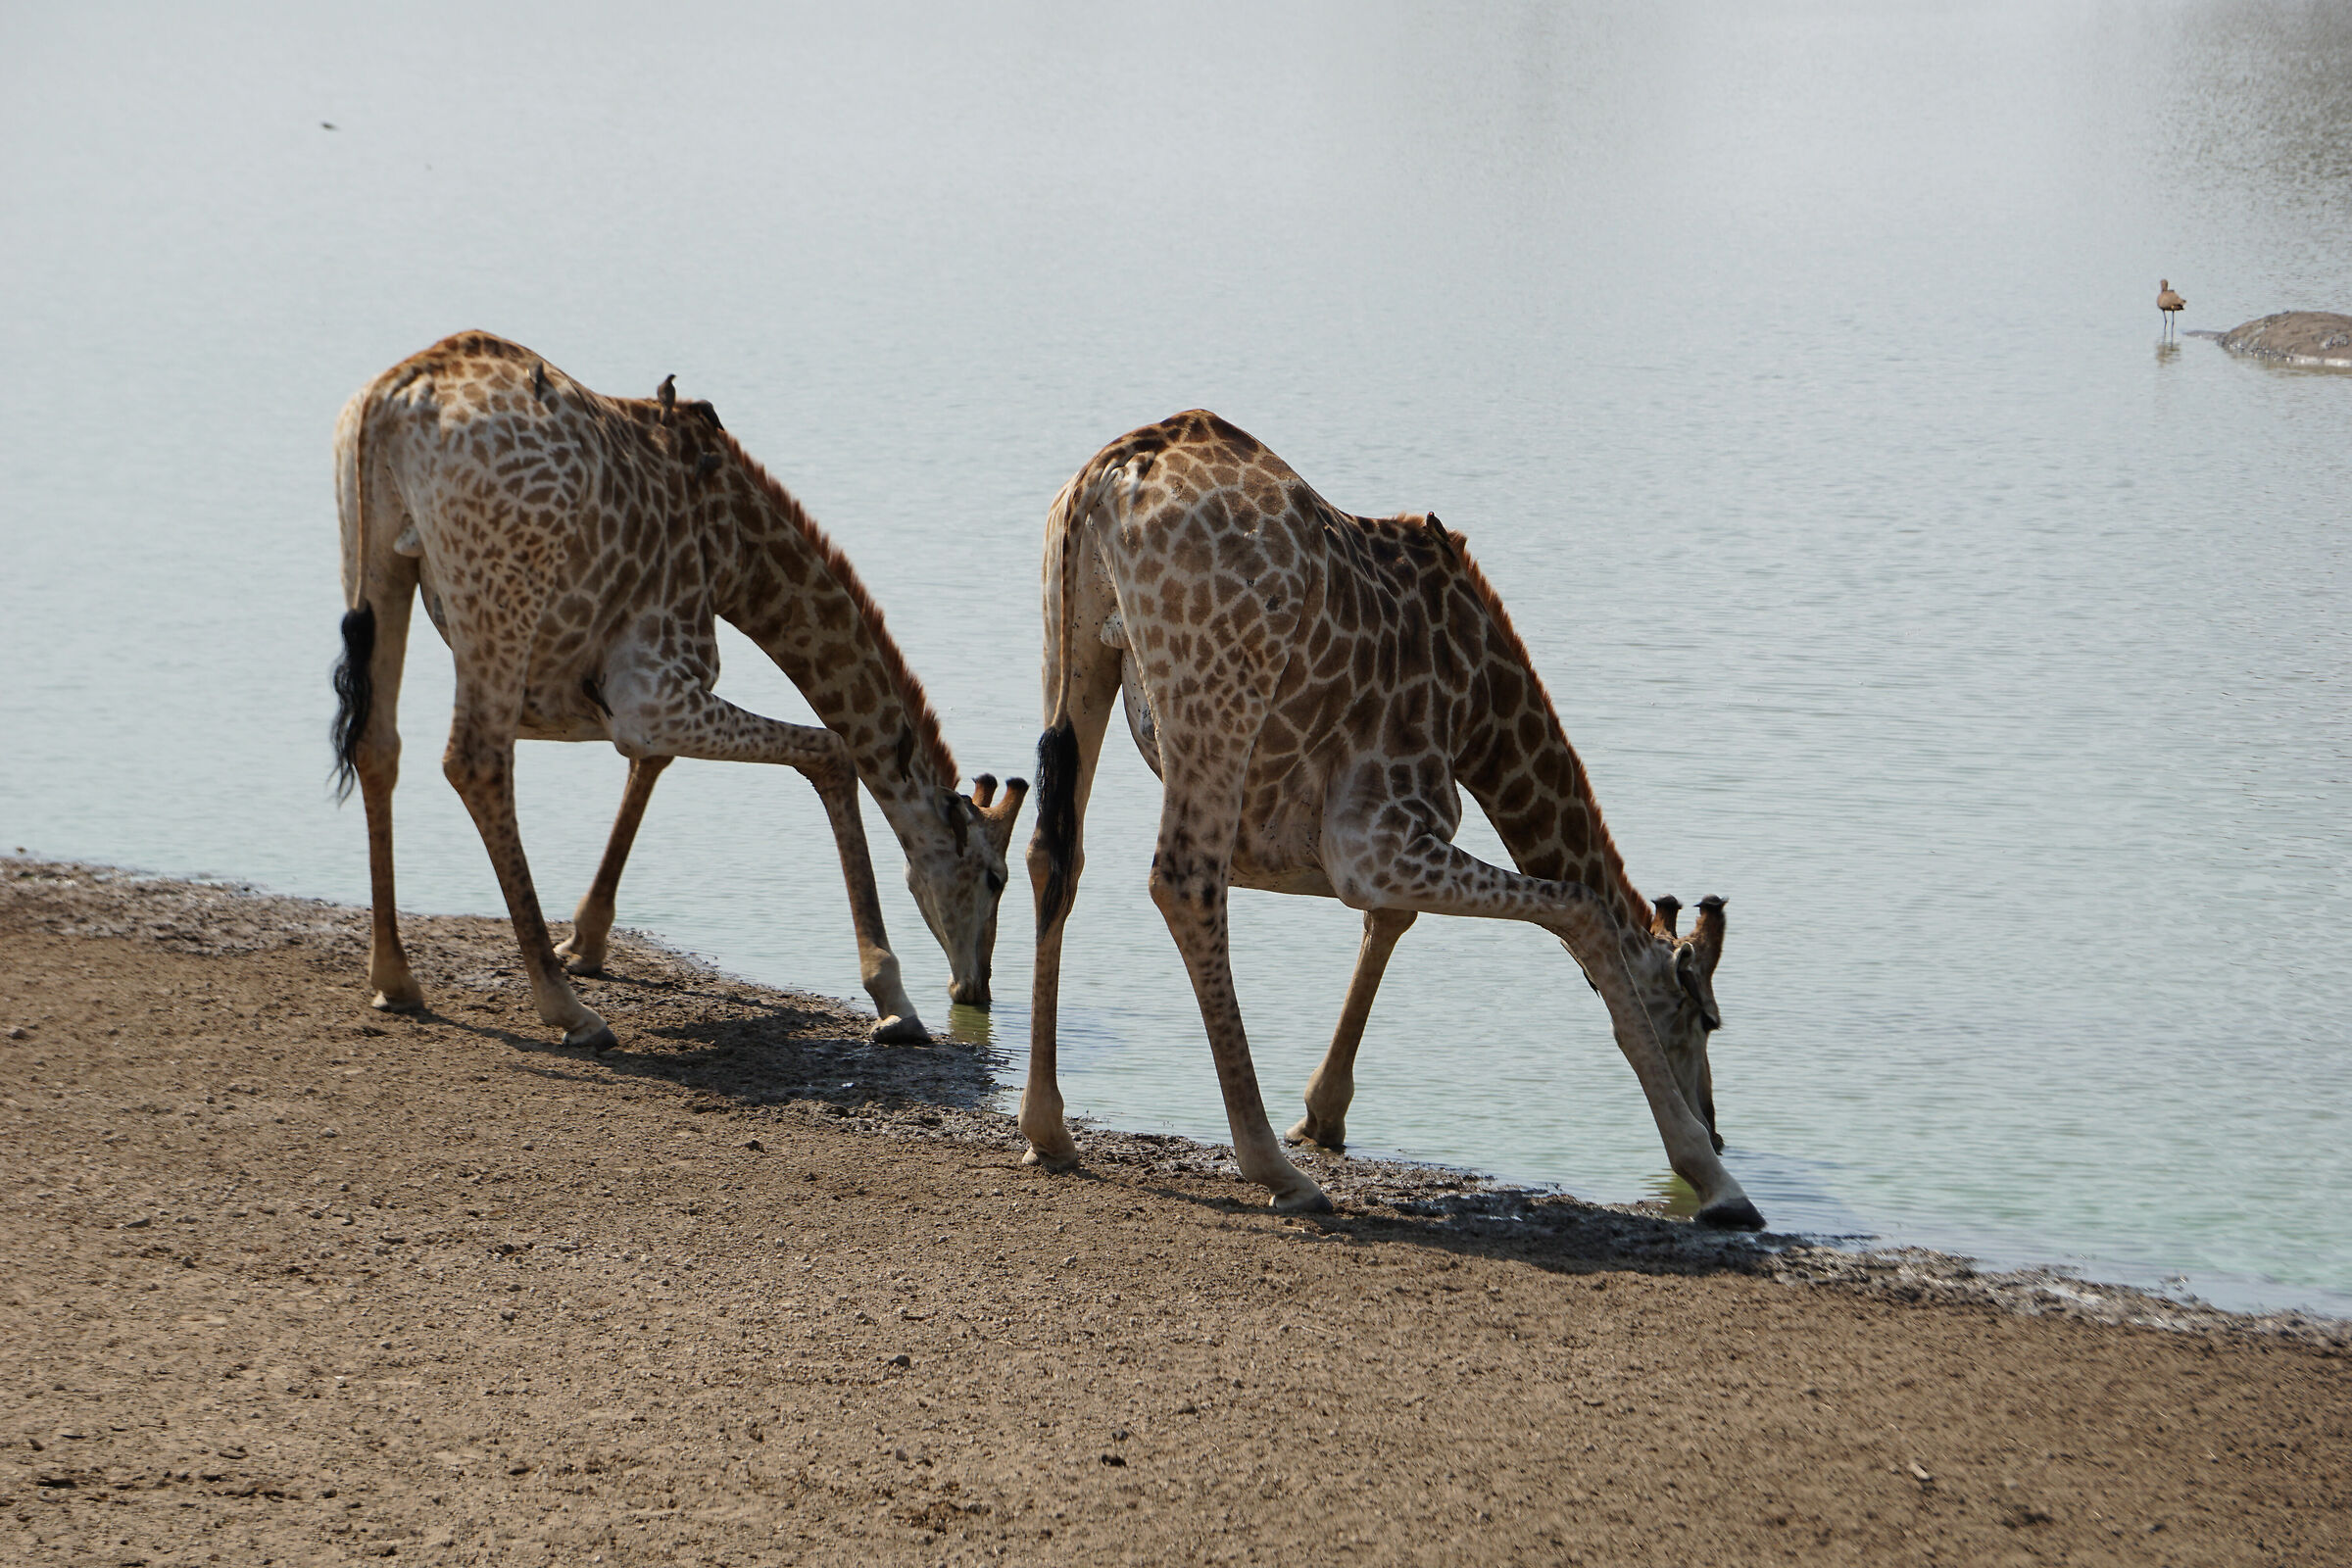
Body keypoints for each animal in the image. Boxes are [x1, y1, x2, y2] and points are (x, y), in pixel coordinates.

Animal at [329, 332, 1025, 1051]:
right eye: (996, 879)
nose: (975, 987)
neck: (738, 554)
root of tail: (392, 398)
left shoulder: (638, 698)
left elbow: (654, 763)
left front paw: (587, 941)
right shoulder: (654, 689)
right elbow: (832, 751)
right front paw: (893, 1000)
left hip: (377, 559)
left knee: (378, 743)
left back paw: (396, 980)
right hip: (499, 599)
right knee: (475, 760)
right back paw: (568, 1010)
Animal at [1020, 410, 1762, 1228]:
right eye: (1703, 1019)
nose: (1717, 1127)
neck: (1482, 711)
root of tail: (1109, 475)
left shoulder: (1373, 844)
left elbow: (1394, 920)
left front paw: (1322, 1112)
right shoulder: (1374, 837)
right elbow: (1583, 910)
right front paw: (1713, 1180)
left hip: (1072, 649)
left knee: (1055, 853)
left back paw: (1047, 1129)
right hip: (1217, 699)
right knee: (1183, 882)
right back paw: (1275, 1170)